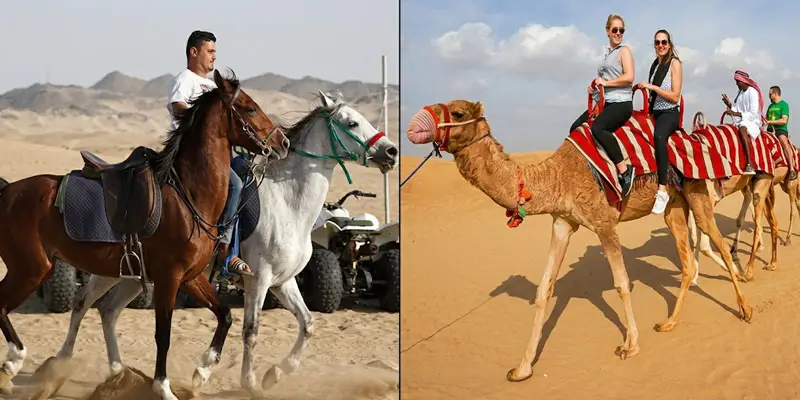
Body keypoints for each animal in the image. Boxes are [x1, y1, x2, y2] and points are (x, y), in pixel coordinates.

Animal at [405, 98, 753, 383]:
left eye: (458, 113)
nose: (414, 125)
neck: (555, 176)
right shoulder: (563, 221)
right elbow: (544, 289)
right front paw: (522, 368)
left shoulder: (604, 221)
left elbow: (621, 284)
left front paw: (630, 345)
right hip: (673, 204)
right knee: (687, 262)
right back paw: (668, 323)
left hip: (697, 191)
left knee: (718, 243)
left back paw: (746, 308)